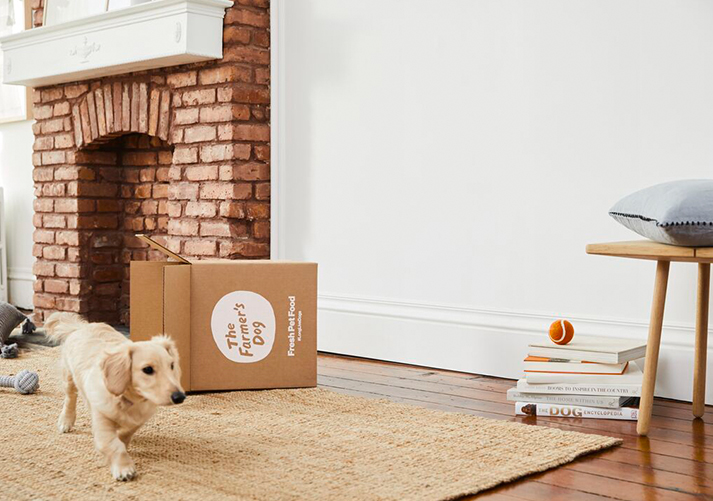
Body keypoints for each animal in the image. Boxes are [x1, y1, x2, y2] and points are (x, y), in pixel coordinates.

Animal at [44, 312, 184, 480]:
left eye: (172, 365)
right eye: (148, 369)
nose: (180, 397)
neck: (129, 400)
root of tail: (81, 327)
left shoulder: (139, 420)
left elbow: (125, 434)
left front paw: (124, 442)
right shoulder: (102, 419)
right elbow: (113, 445)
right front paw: (124, 468)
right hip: (69, 378)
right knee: (70, 399)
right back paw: (66, 421)